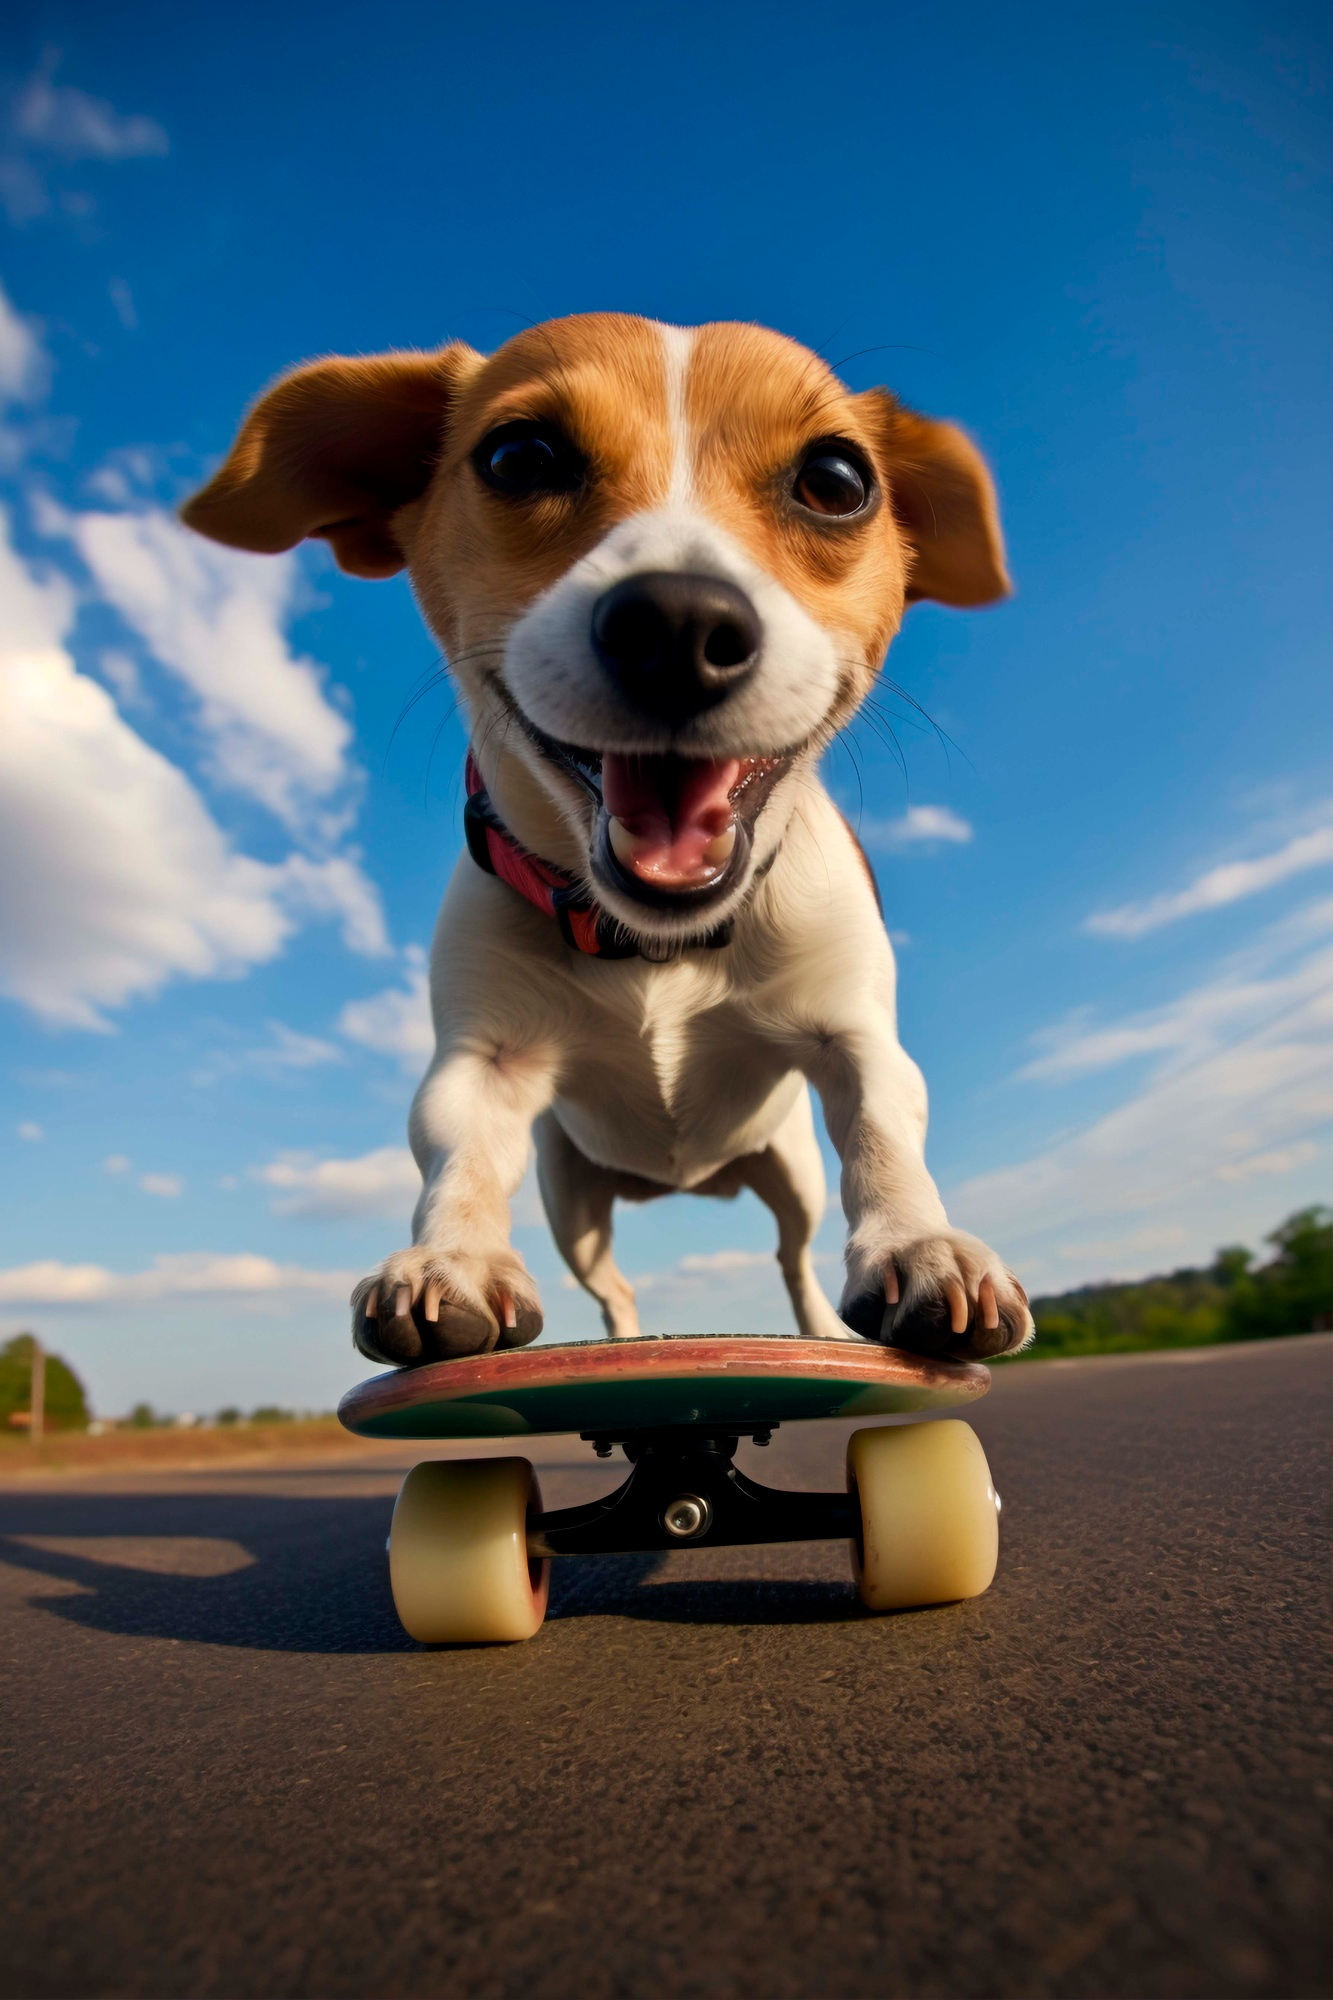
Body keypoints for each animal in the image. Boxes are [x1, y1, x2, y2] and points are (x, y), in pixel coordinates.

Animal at [182, 312, 1032, 1368]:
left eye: (836, 480)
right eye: (518, 456)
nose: (679, 621)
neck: (657, 944)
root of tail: (681, 1176)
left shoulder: (854, 1036)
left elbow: (881, 1130)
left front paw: (920, 1245)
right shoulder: (483, 1067)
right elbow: (457, 1162)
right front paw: (451, 1259)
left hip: (785, 1172)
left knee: (793, 1258)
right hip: (573, 1200)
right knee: (613, 1287)